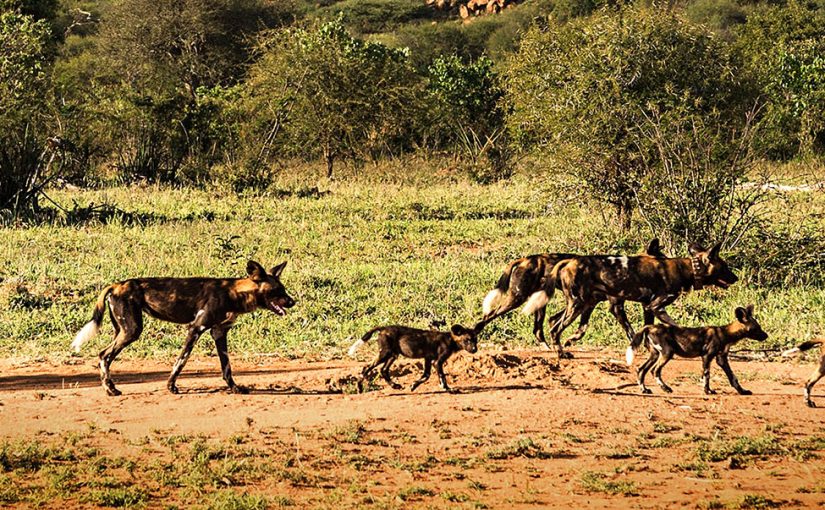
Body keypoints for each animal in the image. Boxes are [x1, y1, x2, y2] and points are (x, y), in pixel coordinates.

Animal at [71, 260, 294, 396]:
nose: (293, 302)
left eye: (284, 289)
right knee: (104, 355)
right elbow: (181, 362)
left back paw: (110, 388)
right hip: (132, 330)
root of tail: (117, 285)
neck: (234, 293)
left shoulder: (219, 333)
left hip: (122, 330)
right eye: (277, 291)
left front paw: (235, 388)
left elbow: (227, 368)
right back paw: (111, 390)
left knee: (104, 354)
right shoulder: (195, 329)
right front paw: (171, 386)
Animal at [346, 324, 476, 392]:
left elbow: (426, 375)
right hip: (385, 354)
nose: (475, 349)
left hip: (393, 355)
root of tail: (383, 328)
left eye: (476, 340)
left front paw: (413, 386)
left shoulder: (428, 359)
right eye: (467, 340)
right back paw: (359, 388)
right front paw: (448, 389)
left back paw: (395, 386)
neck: (451, 340)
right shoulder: (437, 362)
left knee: (383, 370)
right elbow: (442, 377)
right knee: (366, 367)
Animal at [476, 239, 664, 350]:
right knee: (487, 317)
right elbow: (630, 331)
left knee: (538, 329)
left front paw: (568, 342)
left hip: (541, 303)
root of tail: (525, 259)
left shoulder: (589, 305)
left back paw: (549, 347)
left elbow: (581, 330)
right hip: (517, 298)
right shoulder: (615, 307)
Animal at [544, 242, 736, 358]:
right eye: (725, 267)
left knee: (556, 322)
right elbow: (676, 327)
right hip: (578, 305)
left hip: (583, 303)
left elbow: (645, 329)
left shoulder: (647, 307)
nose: (736, 278)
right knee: (555, 329)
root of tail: (568, 262)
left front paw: (648, 348)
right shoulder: (656, 306)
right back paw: (560, 353)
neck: (689, 269)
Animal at [628, 304, 768, 396]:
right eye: (756, 329)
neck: (726, 334)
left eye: (759, 327)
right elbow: (707, 375)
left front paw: (742, 391)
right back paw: (666, 389)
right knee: (655, 371)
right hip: (667, 353)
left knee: (641, 369)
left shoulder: (722, 359)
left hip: (655, 355)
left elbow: (733, 377)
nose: (766, 335)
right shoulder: (707, 356)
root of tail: (650, 326)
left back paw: (644, 390)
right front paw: (708, 391)